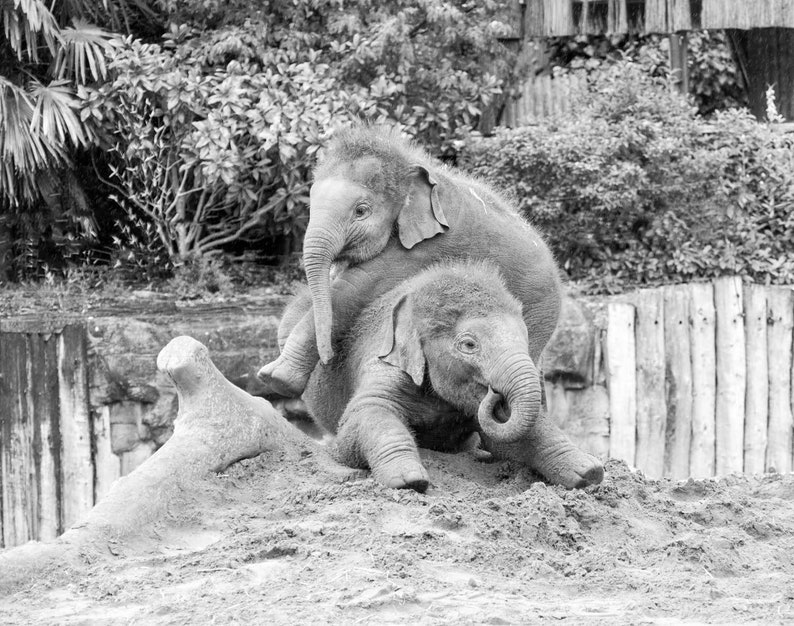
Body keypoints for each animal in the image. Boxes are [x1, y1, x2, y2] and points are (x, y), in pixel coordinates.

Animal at [258, 124, 562, 398]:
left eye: (361, 211)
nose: (328, 357)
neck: (411, 166)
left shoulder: (429, 245)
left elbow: (352, 290)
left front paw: (275, 378)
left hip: (539, 315)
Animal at [280, 261, 604, 492]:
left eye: (526, 340)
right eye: (469, 345)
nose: (495, 394)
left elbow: (509, 439)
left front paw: (589, 472)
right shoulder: (385, 362)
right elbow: (363, 417)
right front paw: (409, 480)